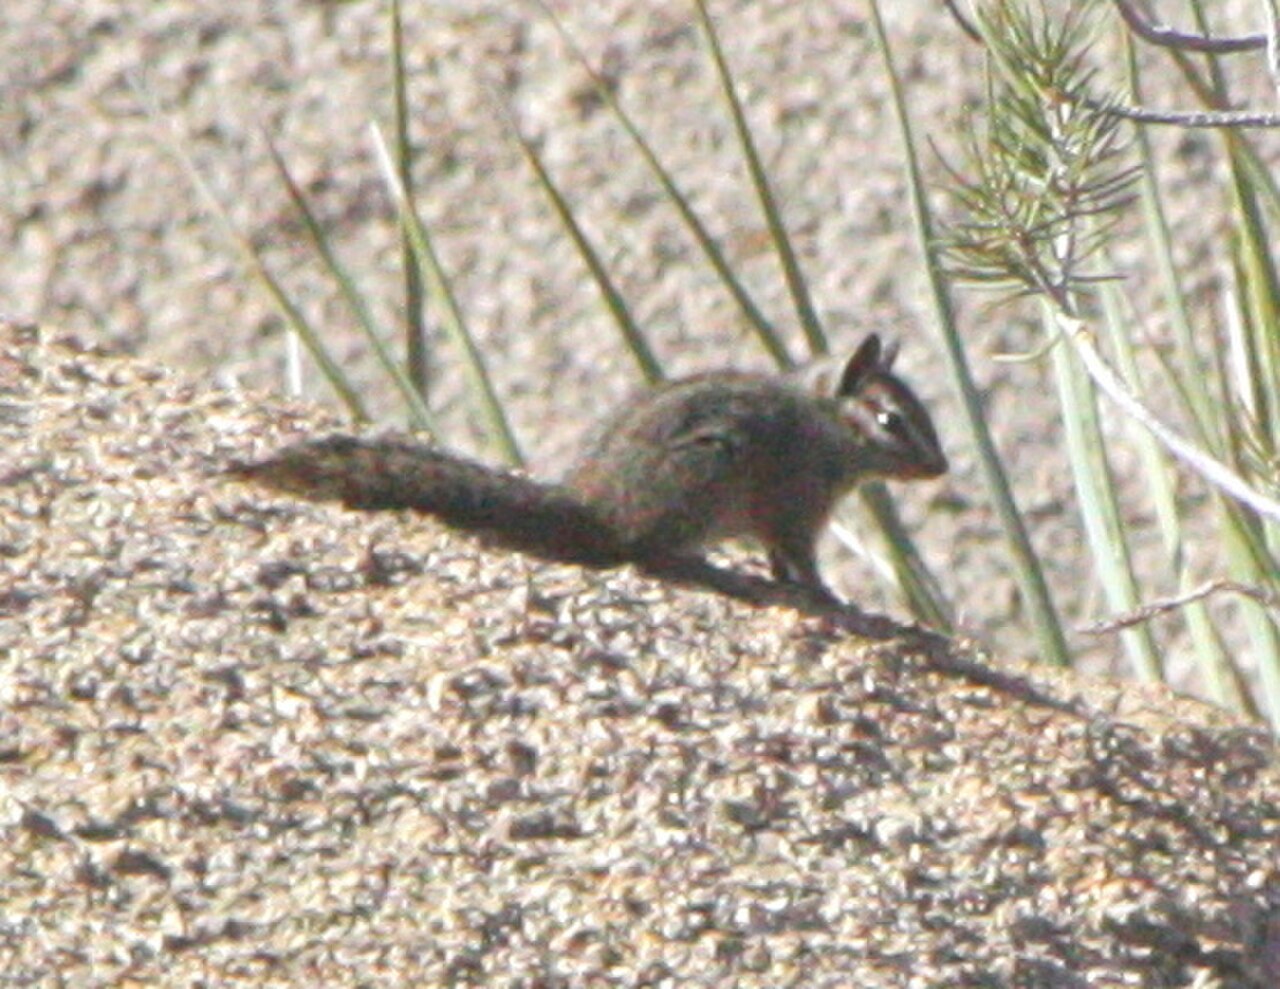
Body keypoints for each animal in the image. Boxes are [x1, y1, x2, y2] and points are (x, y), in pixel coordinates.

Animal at [230, 333, 947, 601]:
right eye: (893, 421)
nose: (939, 469)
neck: (825, 428)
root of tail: (591, 505)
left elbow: (780, 561)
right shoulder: (799, 506)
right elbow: (798, 560)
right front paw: (826, 593)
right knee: (644, 547)